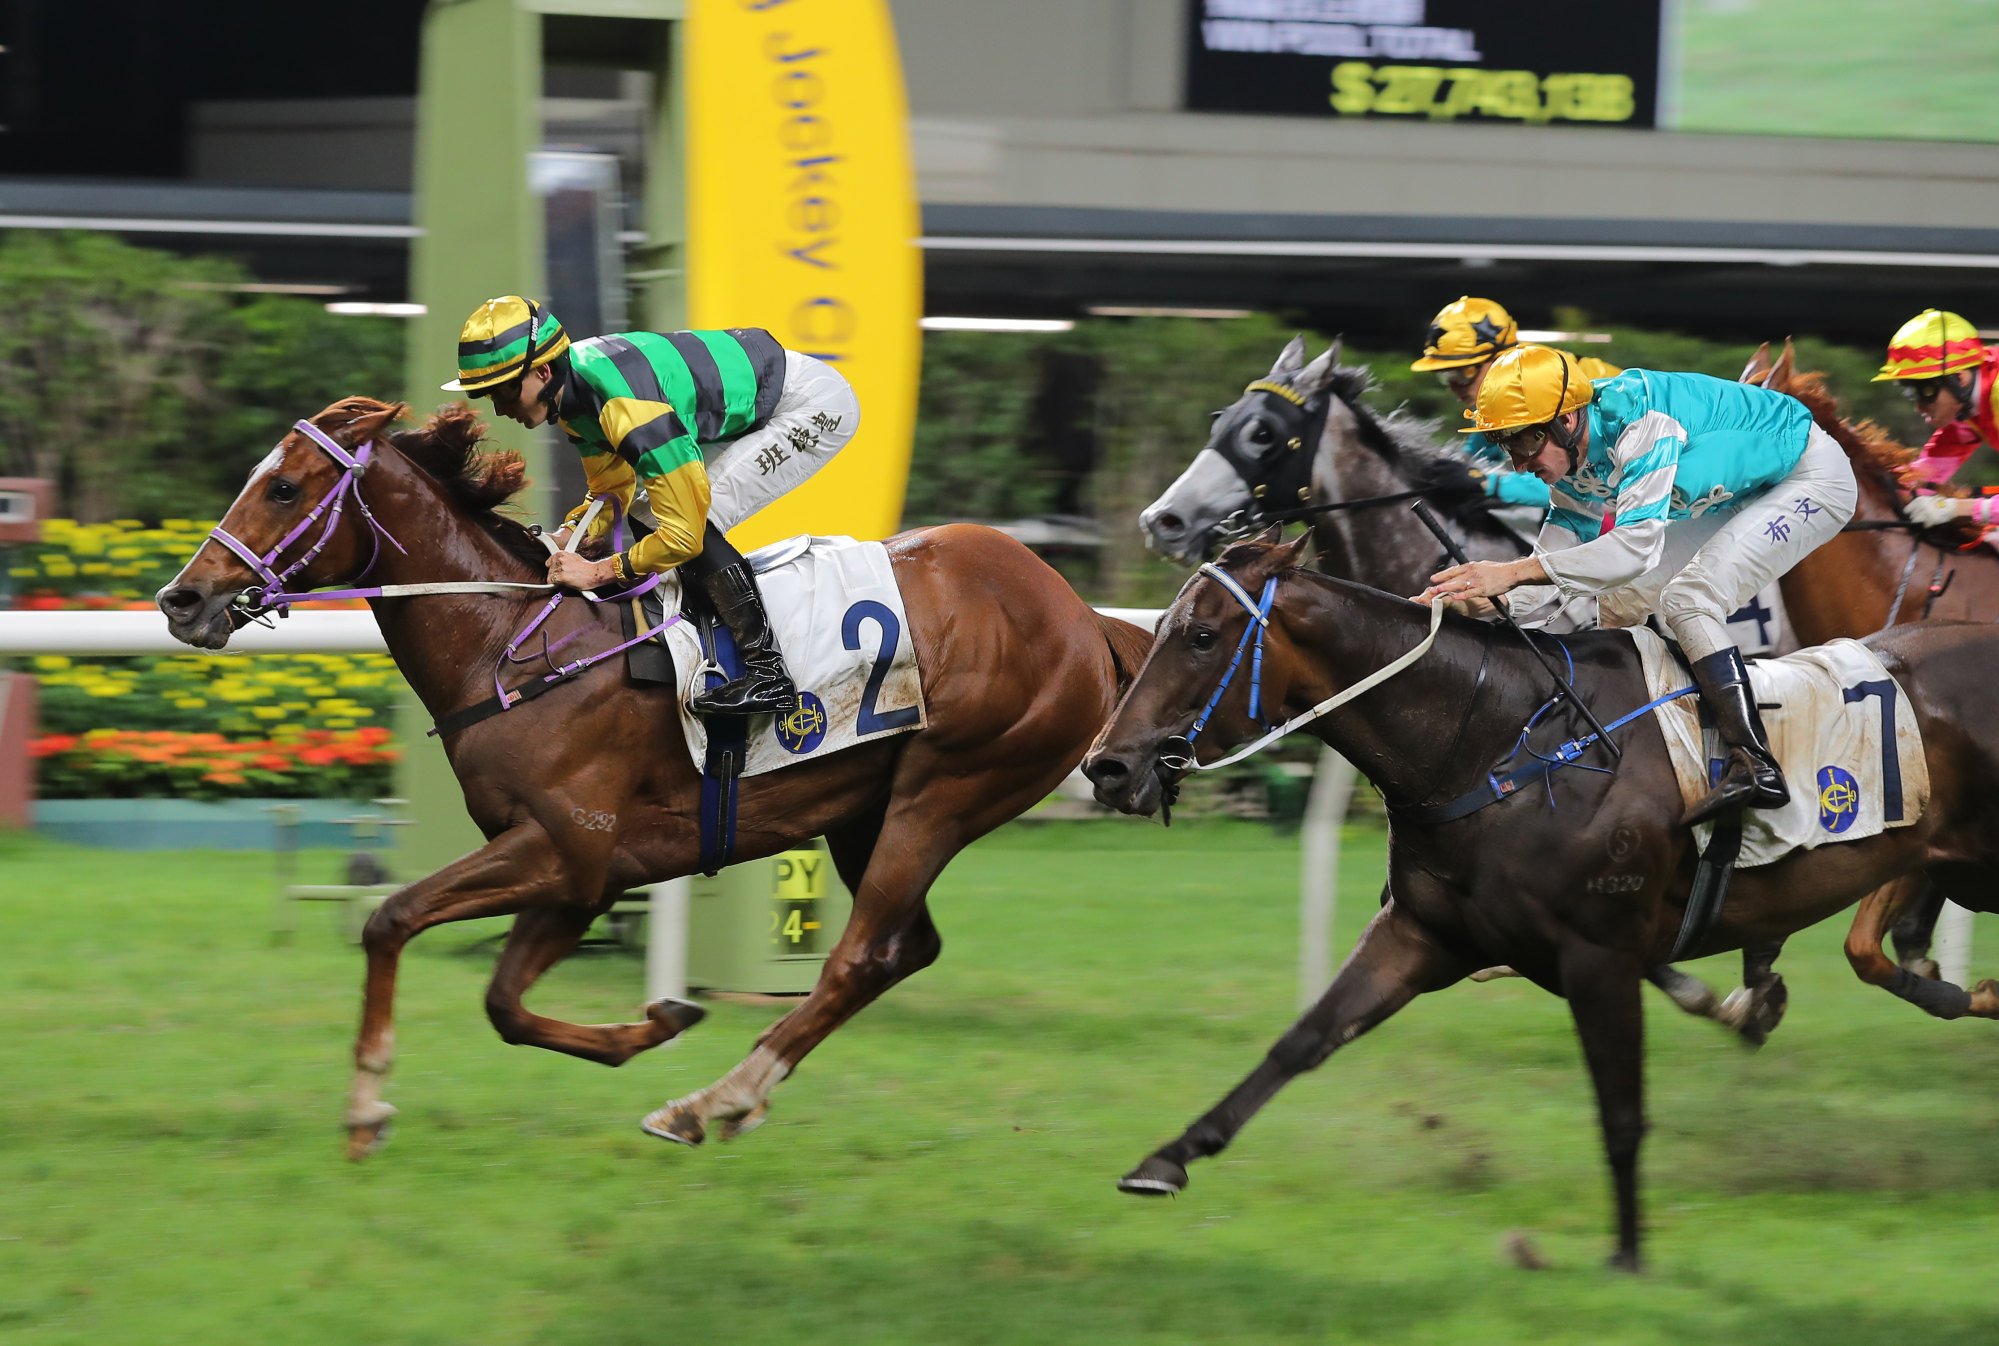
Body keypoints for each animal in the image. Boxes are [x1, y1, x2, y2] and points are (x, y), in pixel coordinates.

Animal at [157, 396, 1159, 1152]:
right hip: (863, 812)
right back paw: (726, 1092)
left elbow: (391, 918)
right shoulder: (585, 874)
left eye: (283, 486)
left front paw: (366, 1105)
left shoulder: (566, 849)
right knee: (903, 950)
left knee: (859, 955)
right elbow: (503, 1002)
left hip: (944, 792)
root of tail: (1077, 610)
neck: (513, 646)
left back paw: (713, 1100)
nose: (181, 598)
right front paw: (658, 1022)